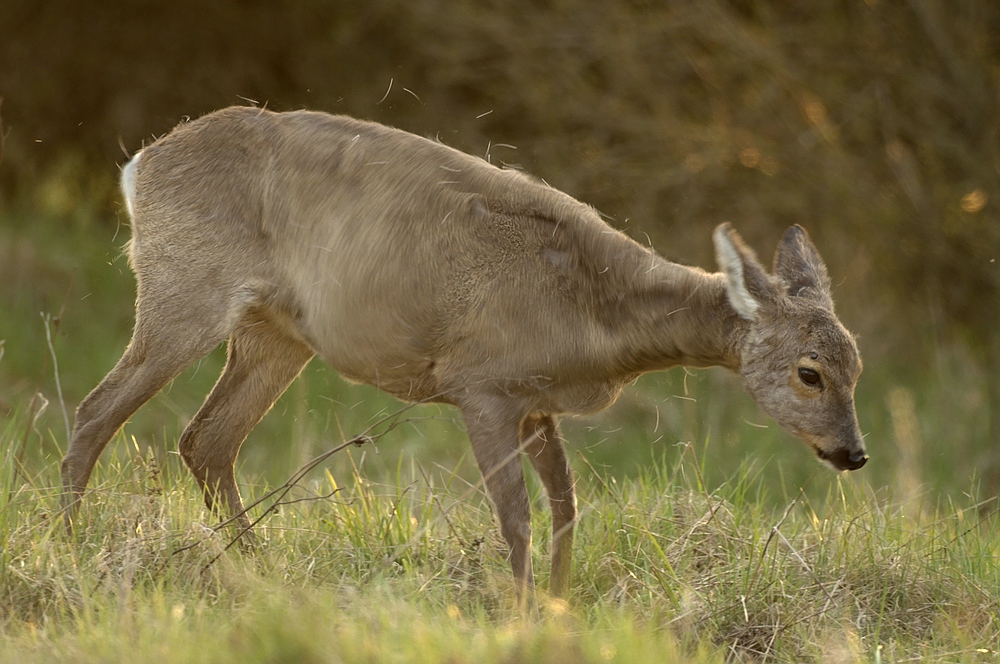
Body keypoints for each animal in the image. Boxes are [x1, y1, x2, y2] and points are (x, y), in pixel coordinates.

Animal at [60, 106, 868, 604]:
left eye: (857, 366)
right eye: (809, 372)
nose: (853, 453)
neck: (595, 311)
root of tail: (139, 166)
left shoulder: (537, 403)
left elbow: (567, 507)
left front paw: (560, 607)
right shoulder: (483, 385)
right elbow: (517, 517)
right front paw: (521, 613)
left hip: (274, 332)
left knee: (207, 439)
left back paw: (264, 575)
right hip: (184, 288)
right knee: (96, 411)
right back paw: (67, 543)